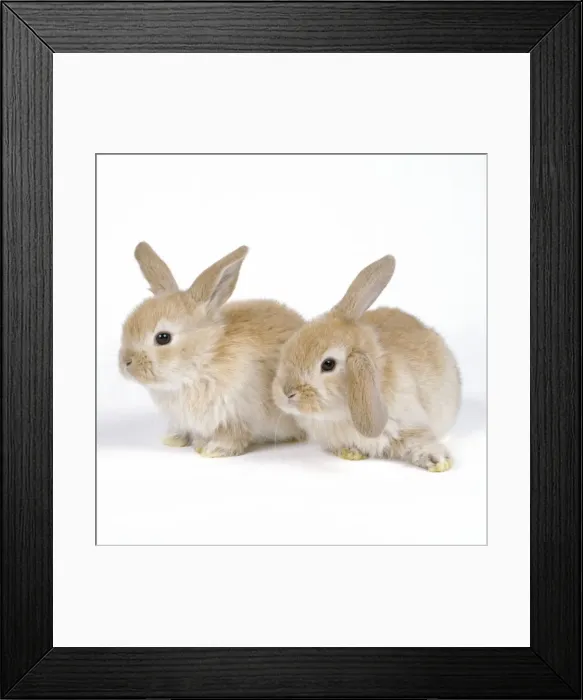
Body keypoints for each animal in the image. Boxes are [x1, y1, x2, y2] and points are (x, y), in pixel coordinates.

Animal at [119, 242, 305, 457]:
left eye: (163, 337)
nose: (126, 363)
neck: (206, 358)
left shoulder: (236, 415)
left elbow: (232, 436)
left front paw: (212, 450)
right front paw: (174, 440)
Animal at [272, 254, 461, 471]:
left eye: (328, 364)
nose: (286, 392)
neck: (341, 413)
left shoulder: (412, 424)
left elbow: (420, 441)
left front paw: (439, 461)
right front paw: (351, 453)